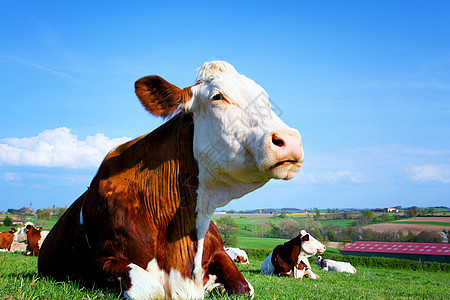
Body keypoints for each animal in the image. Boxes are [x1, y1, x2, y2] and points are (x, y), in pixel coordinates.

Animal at [37, 59, 302, 298]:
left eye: (265, 100)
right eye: (217, 97)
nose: (290, 140)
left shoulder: (219, 253)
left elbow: (244, 288)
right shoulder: (98, 260)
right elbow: (149, 288)